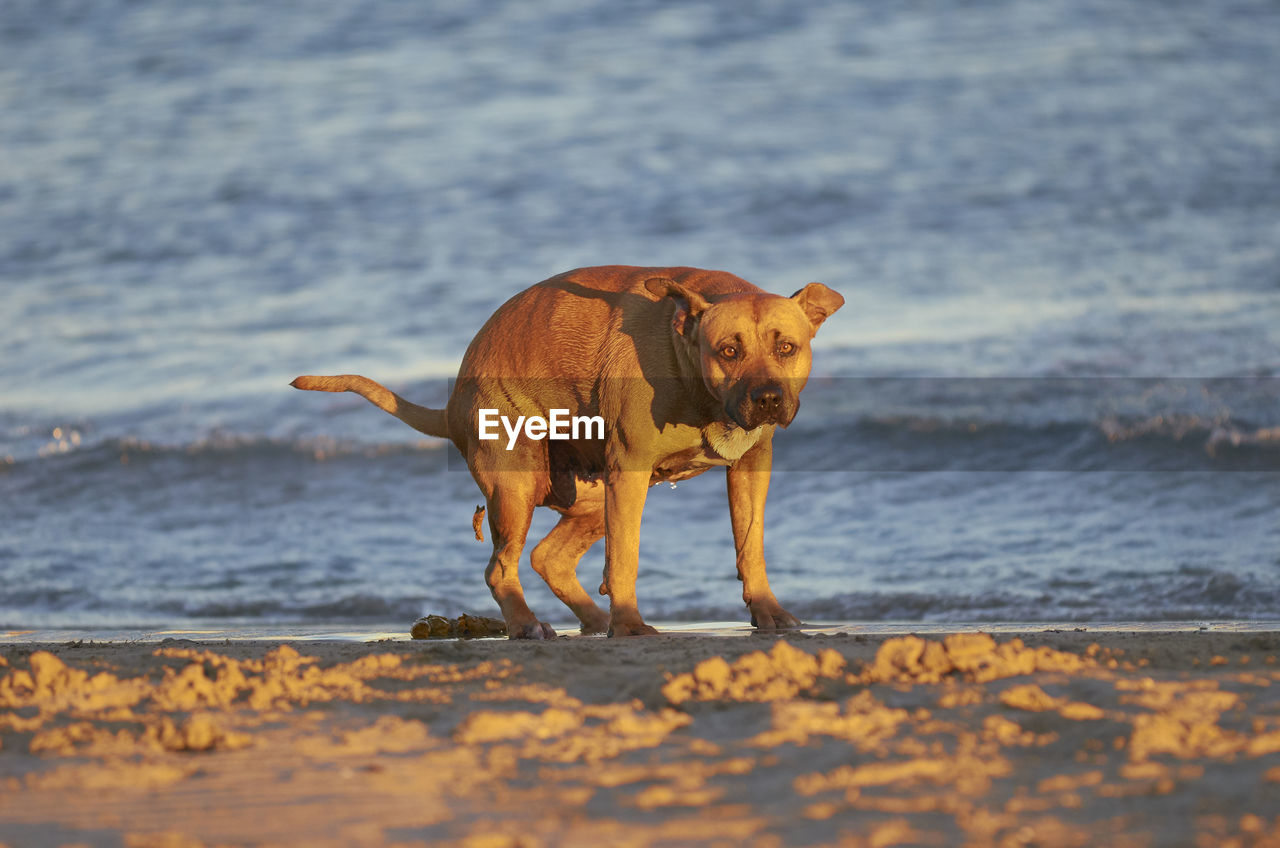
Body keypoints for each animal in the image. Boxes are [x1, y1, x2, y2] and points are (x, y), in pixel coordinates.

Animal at [294, 266, 844, 637]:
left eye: (787, 348)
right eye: (728, 350)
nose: (768, 398)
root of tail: (452, 406)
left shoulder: (751, 466)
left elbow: (750, 544)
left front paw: (768, 611)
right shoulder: (629, 471)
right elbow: (625, 557)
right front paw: (630, 624)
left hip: (590, 498)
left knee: (548, 558)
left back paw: (593, 620)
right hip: (518, 488)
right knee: (501, 567)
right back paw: (530, 625)